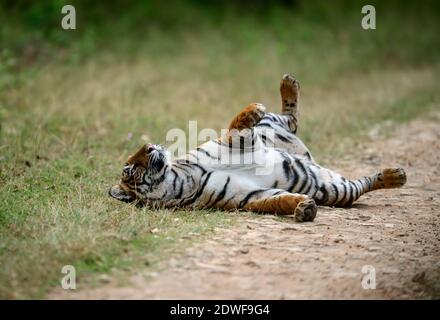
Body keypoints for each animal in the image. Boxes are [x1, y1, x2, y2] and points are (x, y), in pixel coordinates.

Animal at [109, 74, 406, 221]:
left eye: (136, 157)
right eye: (131, 169)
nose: (149, 146)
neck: (182, 178)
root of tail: (305, 153)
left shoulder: (233, 142)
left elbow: (237, 124)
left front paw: (252, 108)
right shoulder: (249, 197)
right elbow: (277, 200)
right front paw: (302, 208)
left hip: (270, 127)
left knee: (289, 116)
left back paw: (288, 83)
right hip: (335, 190)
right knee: (362, 183)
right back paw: (396, 176)